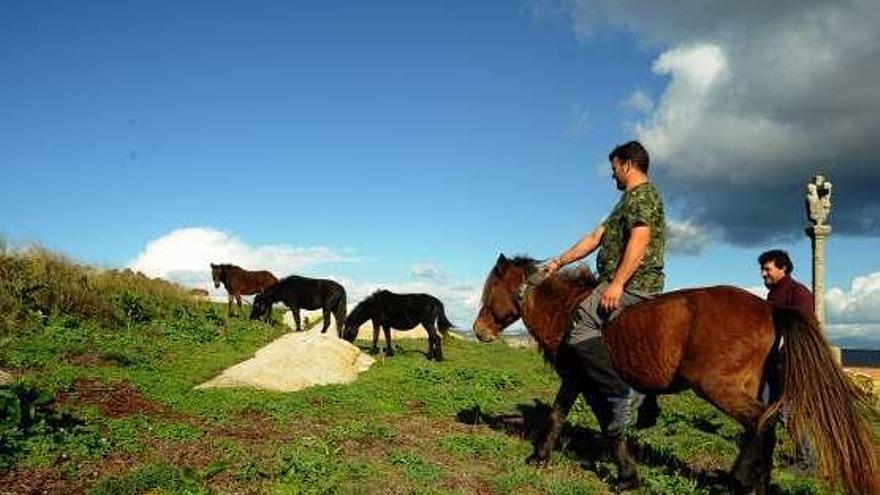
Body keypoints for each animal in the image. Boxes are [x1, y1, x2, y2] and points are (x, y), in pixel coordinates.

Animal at [470, 256, 876, 495]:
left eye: (491, 290)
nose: (478, 330)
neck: (568, 311)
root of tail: (770, 310)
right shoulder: (578, 381)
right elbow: (563, 416)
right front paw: (541, 457)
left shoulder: (586, 379)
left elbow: (601, 422)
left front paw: (624, 475)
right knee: (762, 427)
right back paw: (752, 482)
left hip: (719, 386)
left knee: (760, 423)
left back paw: (740, 482)